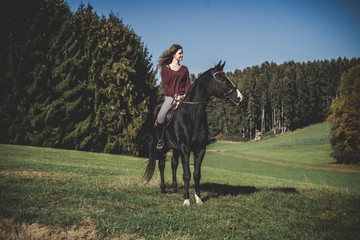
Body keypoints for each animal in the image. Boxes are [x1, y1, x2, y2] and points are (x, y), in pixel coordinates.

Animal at [143, 61, 242, 205]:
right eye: (222, 79)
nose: (239, 97)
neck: (192, 115)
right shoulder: (185, 148)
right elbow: (187, 174)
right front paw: (186, 200)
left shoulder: (200, 149)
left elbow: (196, 174)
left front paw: (198, 198)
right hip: (162, 146)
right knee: (161, 164)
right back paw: (163, 188)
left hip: (175, 148)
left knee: (173, 164)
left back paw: (174, 188)